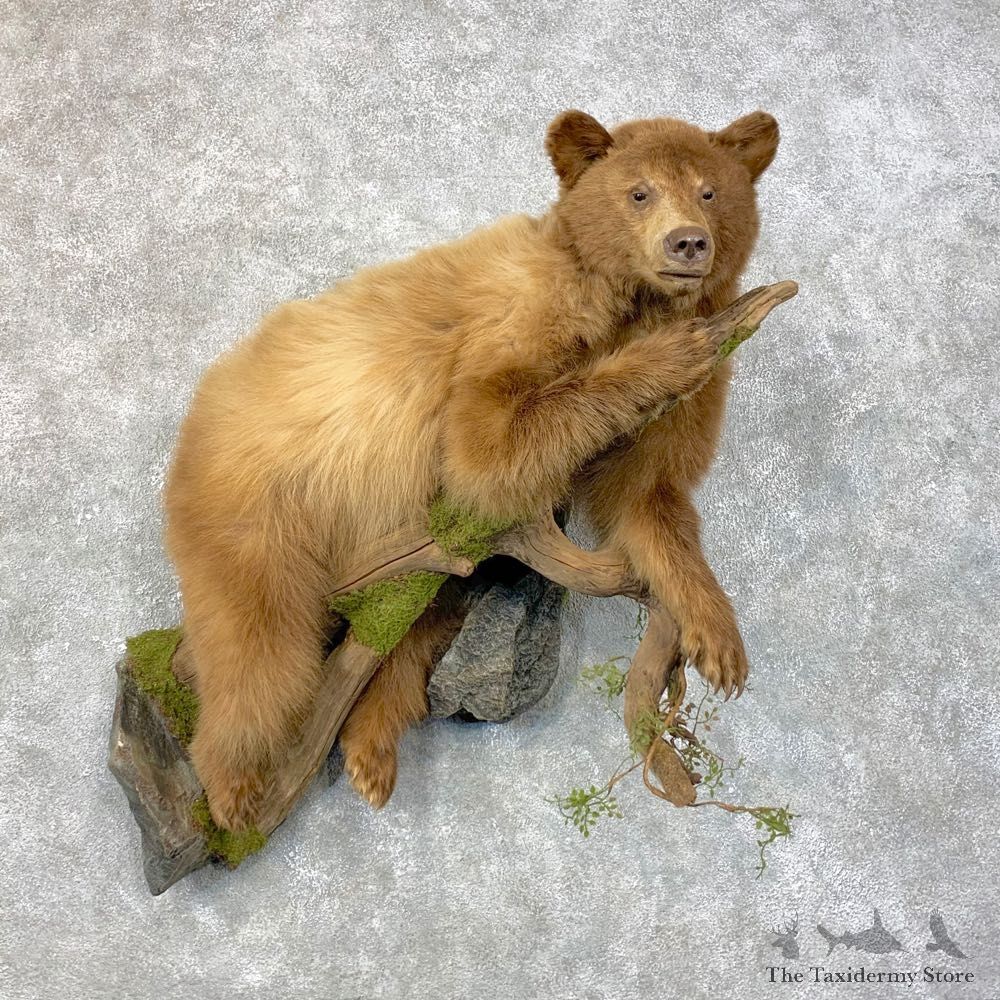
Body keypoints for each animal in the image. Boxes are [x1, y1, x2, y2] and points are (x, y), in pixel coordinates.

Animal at [163, 108, 780, 831]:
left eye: (710, 191)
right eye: (639, 193)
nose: (688, 243)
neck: (627, 302)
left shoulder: (675, 418)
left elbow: (648, 498)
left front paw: (718, 637)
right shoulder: (521, 318)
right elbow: (489, 440)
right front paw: (666, 354)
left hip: (418, 542)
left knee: (422, 609)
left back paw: (371, 747)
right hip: (259, 506)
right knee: (257, 645)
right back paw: (231, 785)